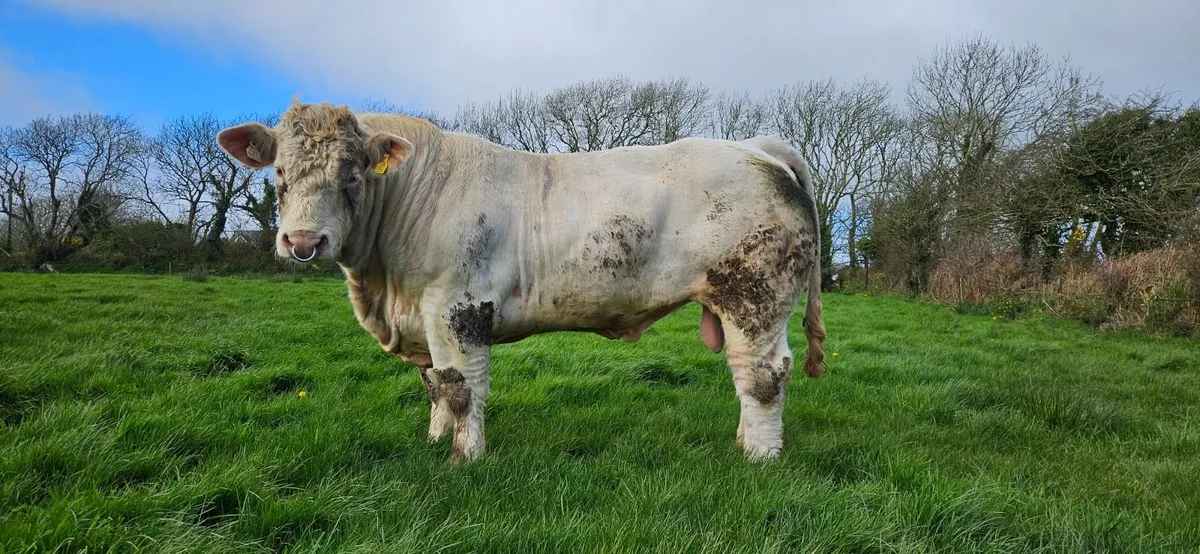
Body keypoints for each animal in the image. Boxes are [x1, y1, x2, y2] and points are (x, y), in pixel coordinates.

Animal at [216, 101, 827, 463]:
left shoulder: (458, 308)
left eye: (352, 173)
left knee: (763, 376)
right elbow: (434, 384)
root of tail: (754, 147)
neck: (386, 288)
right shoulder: (423, 319)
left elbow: (461, 387)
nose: (302, 241)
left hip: (754, 296)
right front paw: (434, 441)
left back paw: (759, 459)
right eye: (278, 172)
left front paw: (465, 458)